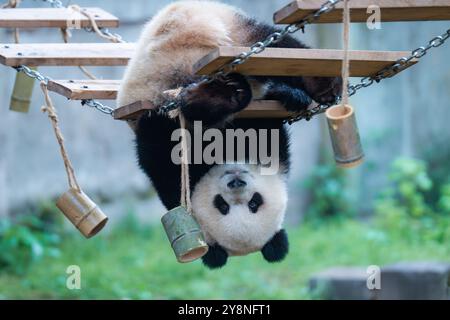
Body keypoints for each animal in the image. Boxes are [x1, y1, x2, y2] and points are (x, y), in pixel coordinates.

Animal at [117, 0, 342, 268]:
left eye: (255, 202)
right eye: (222, 205)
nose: (236, 181)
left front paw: (290, 96)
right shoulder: (177, 181)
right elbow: (160, 150)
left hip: (224, 29)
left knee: (272, 46)